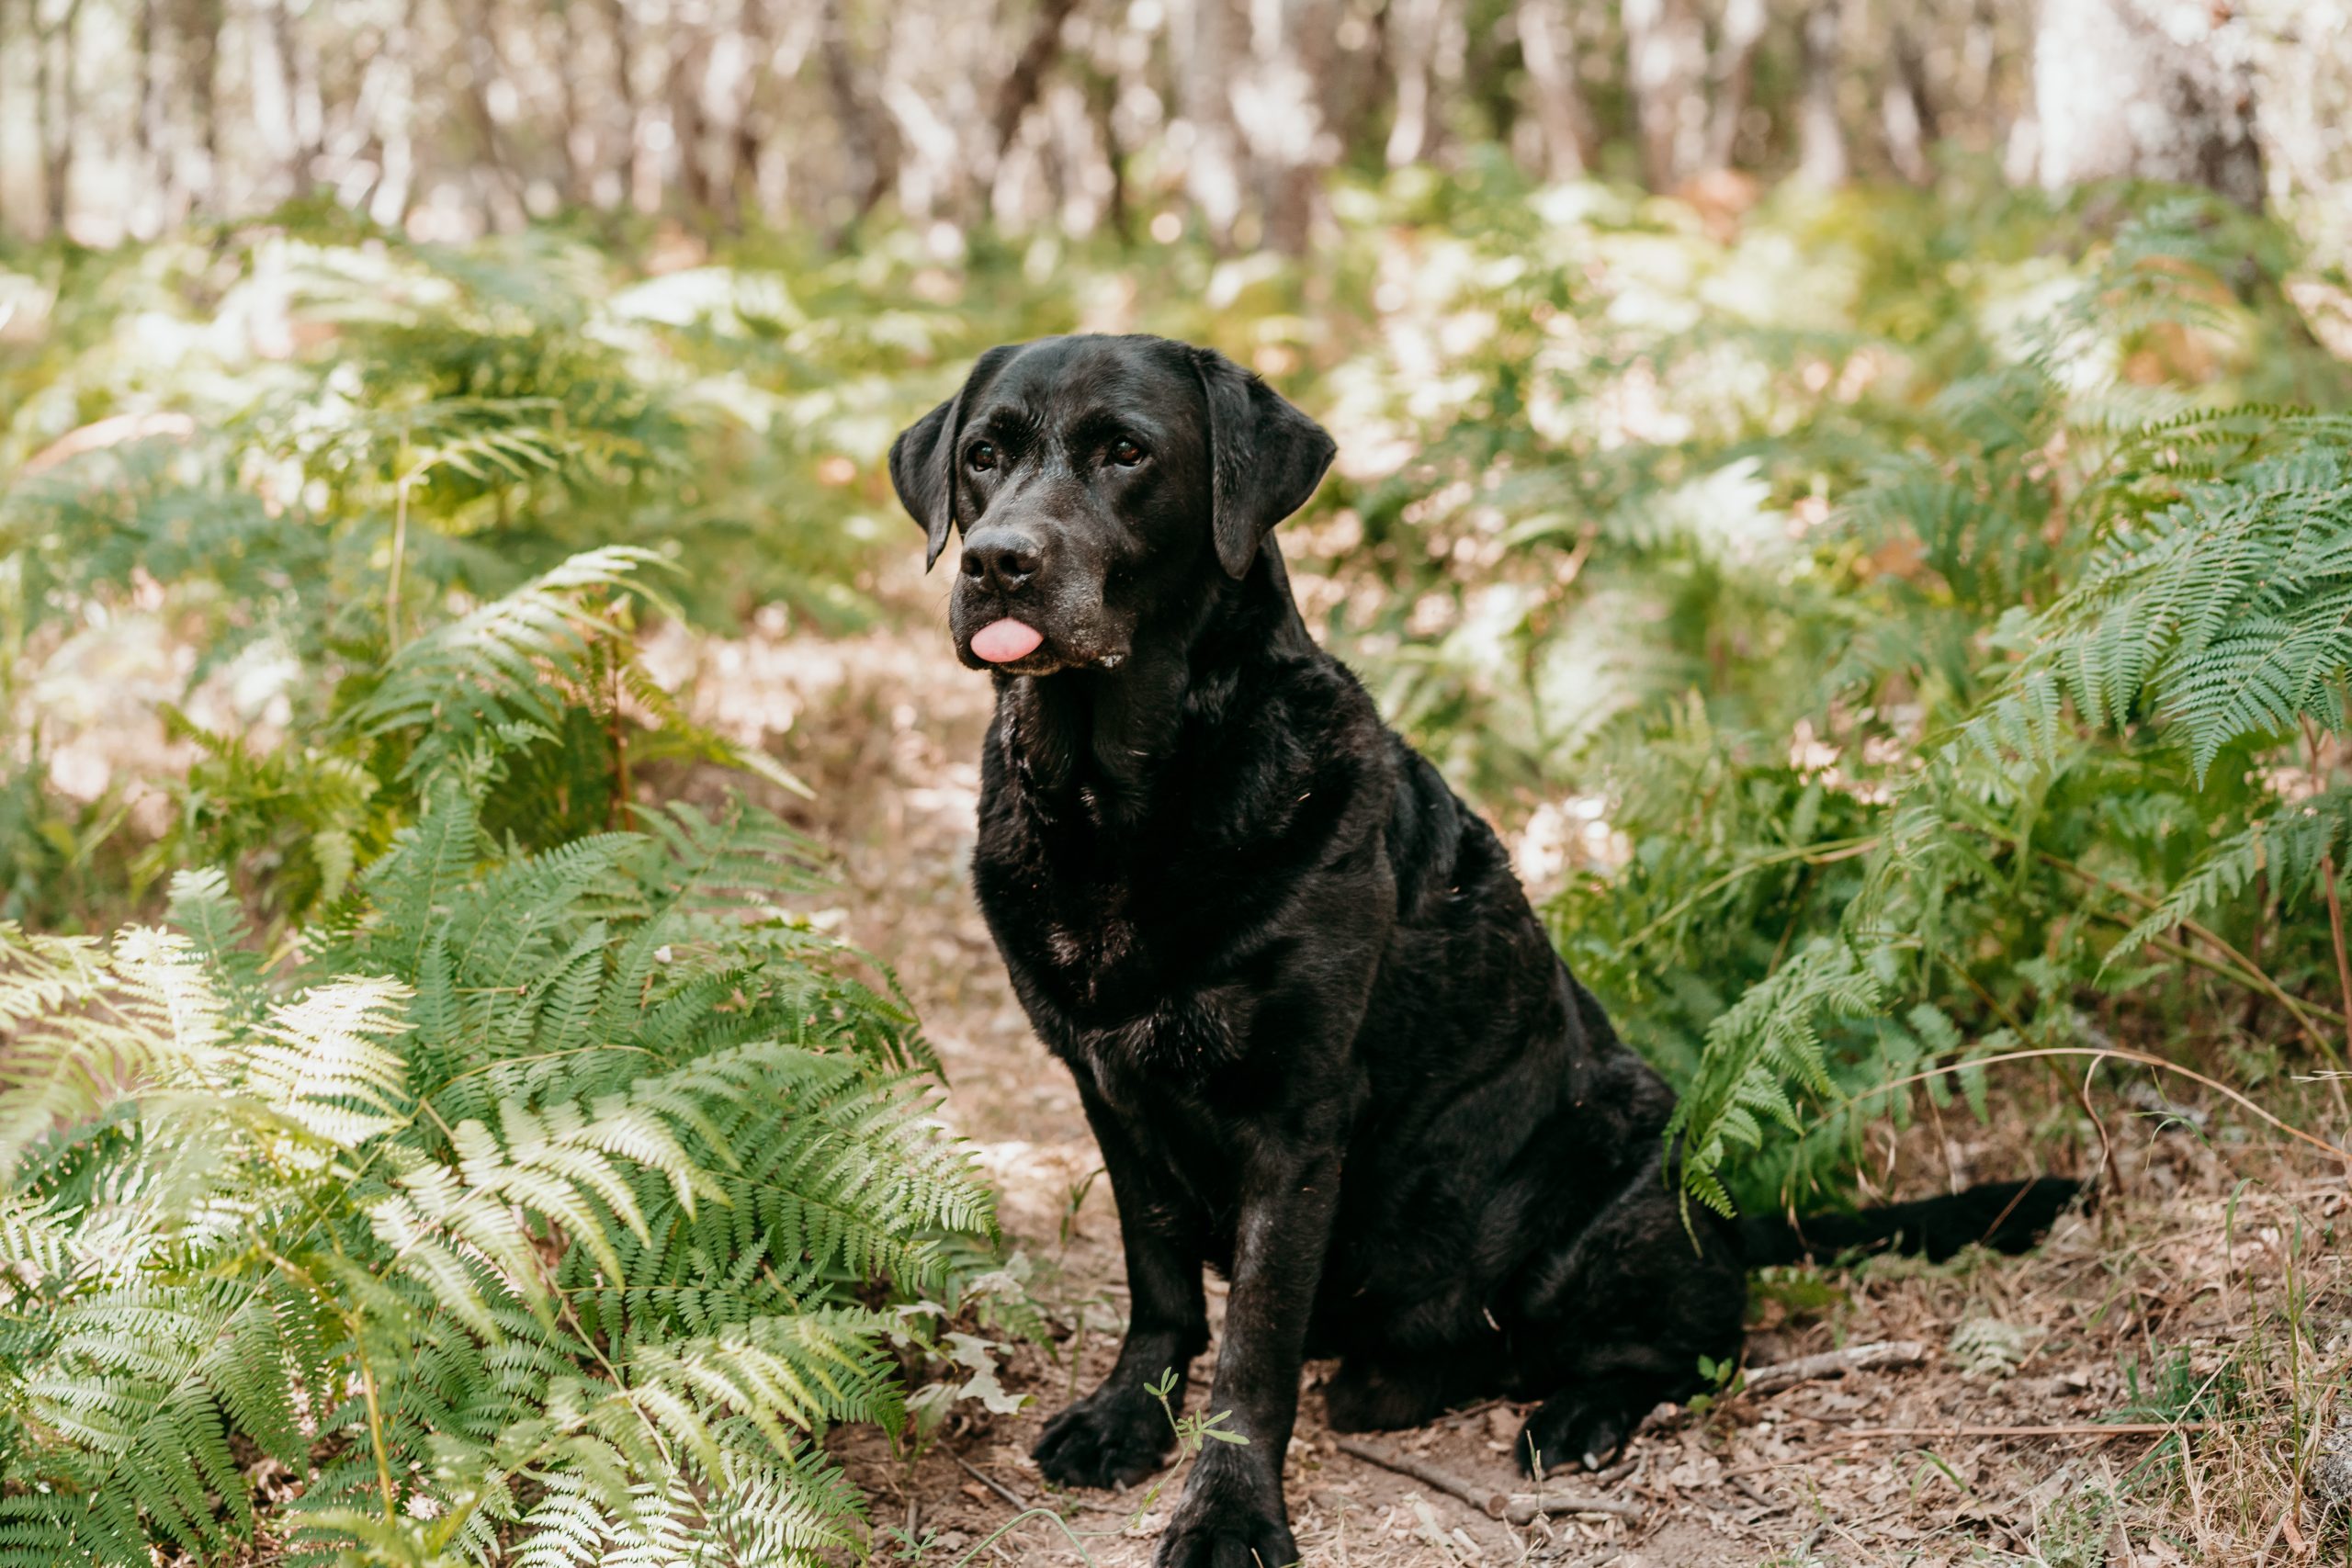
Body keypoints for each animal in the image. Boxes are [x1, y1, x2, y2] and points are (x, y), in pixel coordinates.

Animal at [884, 333, 2079, 1568]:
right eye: (982, 458)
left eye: (1126, 452)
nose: (998, 561)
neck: (1121, 800)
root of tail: (1722, 1208)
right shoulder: (1109, 1093)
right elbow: (1160, 1284)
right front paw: (1129, 1417)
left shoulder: (1294, 1119)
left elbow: (1253, 1348)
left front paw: (1228, 1511)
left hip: (1612, 1162)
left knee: (1696, 1347)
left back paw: (1576, 1414)